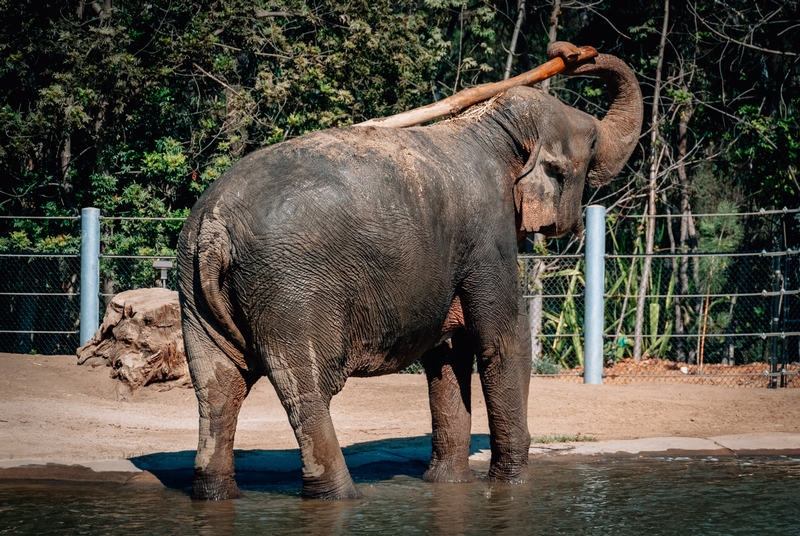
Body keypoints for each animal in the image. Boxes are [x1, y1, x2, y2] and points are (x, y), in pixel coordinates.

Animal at [178, 43, 640, 502]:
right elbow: (503, 342)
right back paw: (340, 497)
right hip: (290, 291)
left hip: (194, 290)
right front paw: (512, 488)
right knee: (304, 388)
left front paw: (447, 486)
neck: (491, 126)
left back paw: (216, 495)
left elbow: (448, 353)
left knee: (217, 385)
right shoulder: (488, 235)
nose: (574, 53)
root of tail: (215, 226)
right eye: (593, 143)